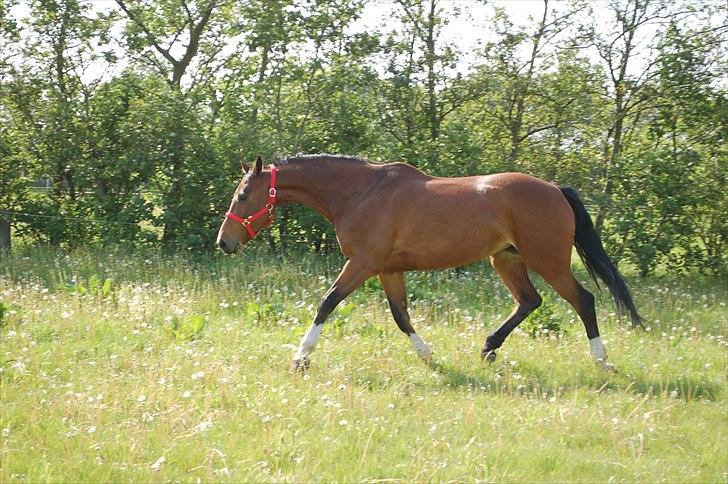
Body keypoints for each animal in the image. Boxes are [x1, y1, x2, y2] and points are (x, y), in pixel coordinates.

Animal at [218, 154, 644, 370]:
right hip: (505, 260)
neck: (360, 193)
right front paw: (427, 355)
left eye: (242, 196)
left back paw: (602, 361)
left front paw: (300, 357)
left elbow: (326, 303)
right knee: (529, 301)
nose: (225, 242)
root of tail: (556, 189)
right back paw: (489, 348)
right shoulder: (388, 270)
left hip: (549, 261)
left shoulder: (362, 264)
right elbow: (400, 315)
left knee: (583, 300)